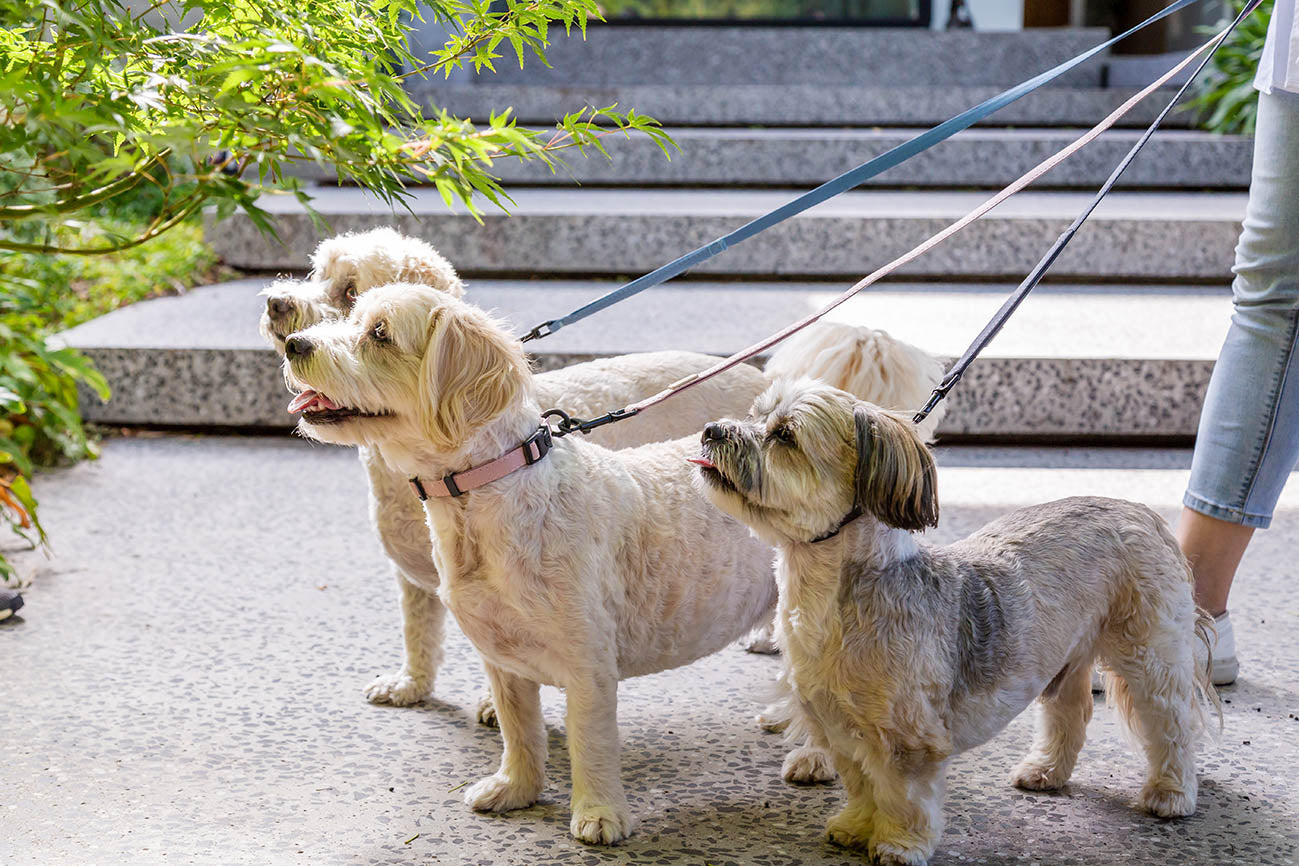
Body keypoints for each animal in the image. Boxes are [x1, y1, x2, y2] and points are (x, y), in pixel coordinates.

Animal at [696, 381, 1221, 866]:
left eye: (785, 435)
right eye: (754, 414)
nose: (711, 429)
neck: (838, 599)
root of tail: (1140, 511)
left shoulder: (909, 739)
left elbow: (902, 796)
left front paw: (898, 845)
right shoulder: (840, 729)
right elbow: (861, 786)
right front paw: (855, 826)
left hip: (1150, 658)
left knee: (1171, 725)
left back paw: (1171, 793)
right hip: (1062, 659)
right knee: (1069, 713)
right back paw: (1046, 771)